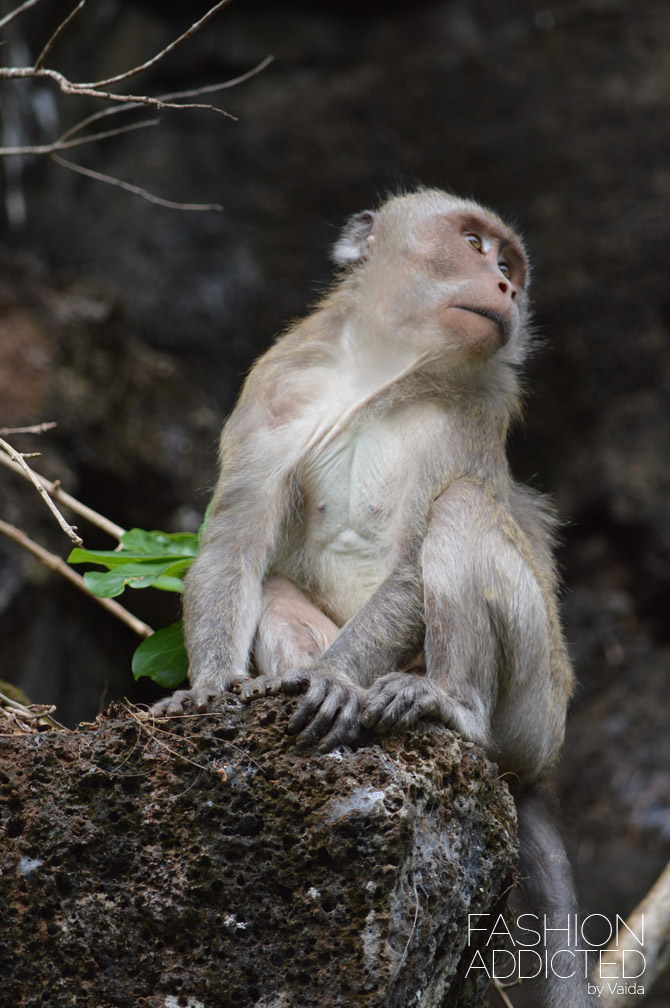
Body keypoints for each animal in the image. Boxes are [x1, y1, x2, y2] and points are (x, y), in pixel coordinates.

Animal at [154, 189, 592, 1008]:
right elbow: (235, 542)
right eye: (475, 243)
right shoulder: (277, 385)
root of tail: (542, 765)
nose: (506, 286)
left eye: (510, 264)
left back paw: (447, 704)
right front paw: (214, 687)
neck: (385, 374)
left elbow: (417, 562)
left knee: (462, 509)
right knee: (276, 584)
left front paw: (333, 680)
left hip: (540, 707)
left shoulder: (475, 410)